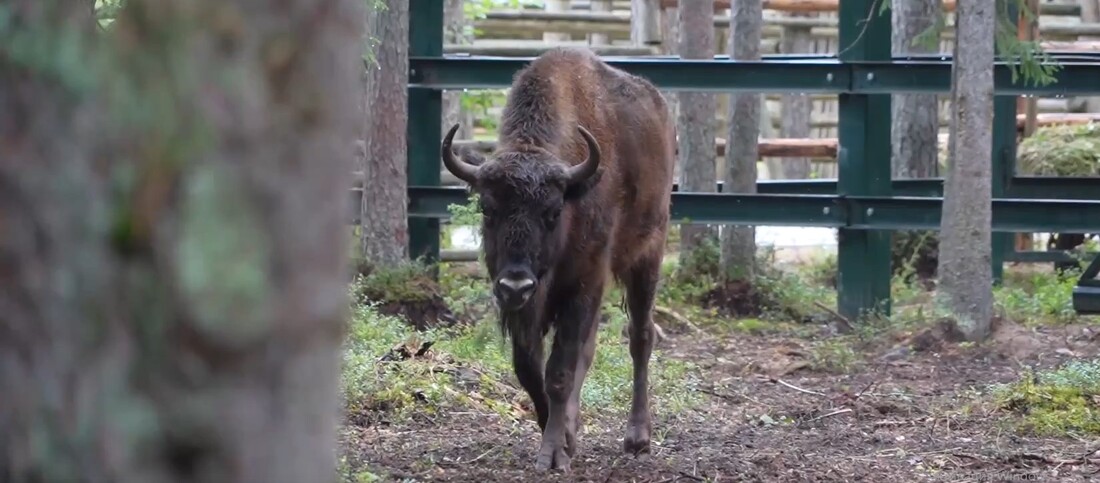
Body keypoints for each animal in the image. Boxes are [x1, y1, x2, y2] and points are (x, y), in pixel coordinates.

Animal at [440, 47, 677, 470]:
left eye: (552, 212)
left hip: (648, 256)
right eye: (487, 209)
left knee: (640, 337)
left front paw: (553, 453)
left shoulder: (582, 284)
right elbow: (530, 369)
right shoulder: (522, 305)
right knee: (590, 349)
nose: (516, 284)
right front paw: (563, 436)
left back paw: (637, 438)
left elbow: (559, 372)